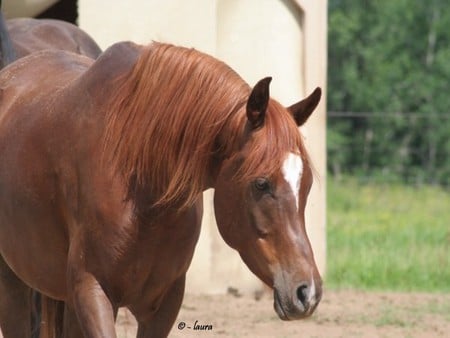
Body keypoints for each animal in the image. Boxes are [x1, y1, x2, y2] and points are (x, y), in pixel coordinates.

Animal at [0, 41, 324, 336]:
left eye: (306, 184)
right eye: (261, 183)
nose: (307, 292)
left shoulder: (165, 303)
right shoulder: (92, 292)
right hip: (15, 288)